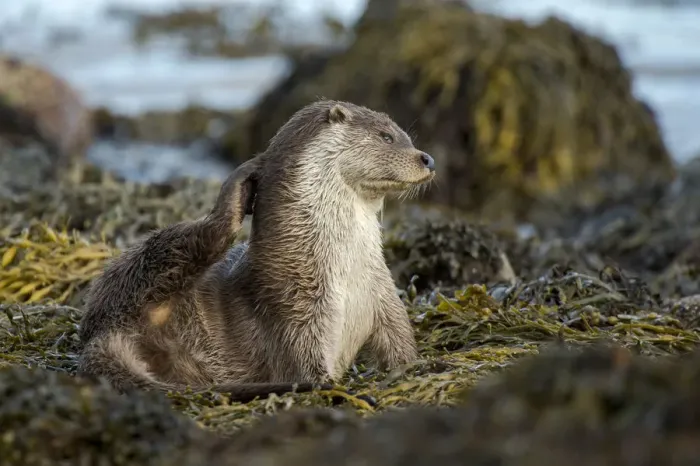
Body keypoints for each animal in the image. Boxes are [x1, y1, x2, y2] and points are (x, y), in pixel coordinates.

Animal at [77, 100, 436, 401]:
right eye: (386, 137)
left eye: (407, 136)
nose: (427, 158)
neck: (345, 271)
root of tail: (105, 331)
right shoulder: (296, 307)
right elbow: (303, 361)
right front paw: (327, 384)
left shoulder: (383, 294)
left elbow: (400, 339)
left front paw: (418, 367)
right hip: (139, 268)